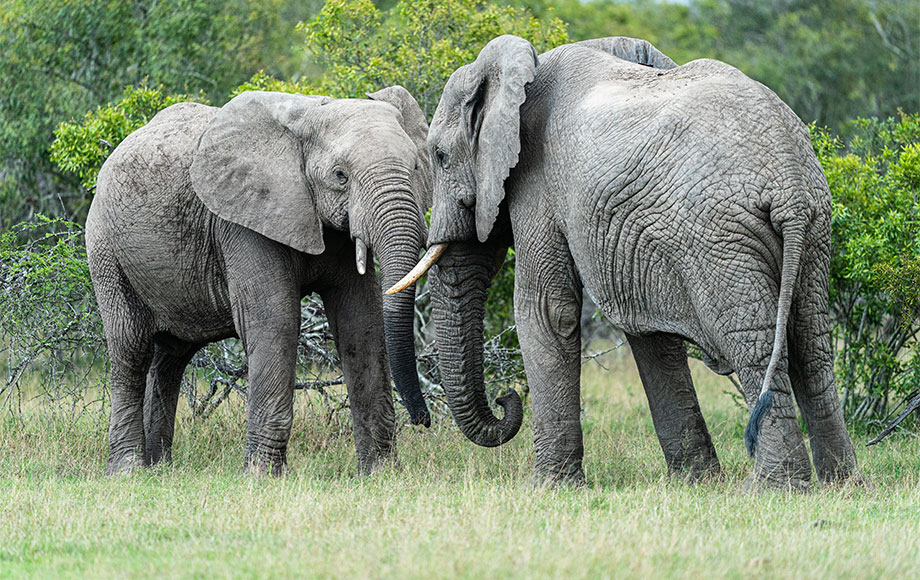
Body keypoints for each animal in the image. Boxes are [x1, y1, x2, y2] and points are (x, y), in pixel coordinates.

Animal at [86, 87, 432, 476]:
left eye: (416, 167)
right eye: (340, 175)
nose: (424, 420)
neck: (310, 112)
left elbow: (361, 322)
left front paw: (381, 473)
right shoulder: (243, 222)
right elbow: (275, 321)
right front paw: (262, 476)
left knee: (171, 357)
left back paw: (159, 468)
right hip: (106, 250)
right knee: (130, 348)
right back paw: (128, 470)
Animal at [396, 35, 864, 490]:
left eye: (440, 156)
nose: (504, 398)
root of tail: (789, 184)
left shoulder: (536, 179)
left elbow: (547, 309)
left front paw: (546, 488)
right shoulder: (632, 236)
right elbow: (647, 330)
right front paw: (696, 482)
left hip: (720, 237)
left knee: (753, 345)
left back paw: (772, 489)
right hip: (814, 227)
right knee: (812, 344)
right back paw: (842, 484)